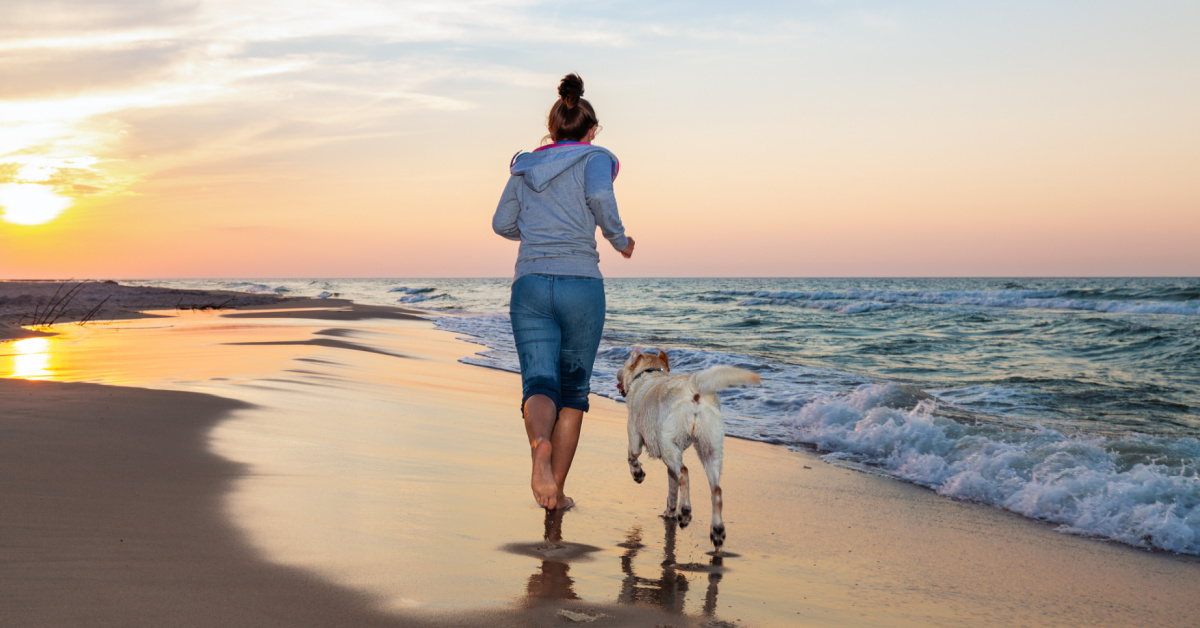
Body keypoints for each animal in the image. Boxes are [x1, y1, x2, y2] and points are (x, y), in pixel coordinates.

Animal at [619, 348, 758, 549]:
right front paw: (669, 511)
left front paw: (638, 474)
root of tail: (694, 388)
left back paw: (685, 512)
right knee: (716, 490)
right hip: (710, 450)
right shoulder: (671, 466)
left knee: (684, 473)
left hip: (669, 446)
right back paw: (716, 530)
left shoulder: (635, 435)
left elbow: (632, 456)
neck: (650, 374)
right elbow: (672, 489)